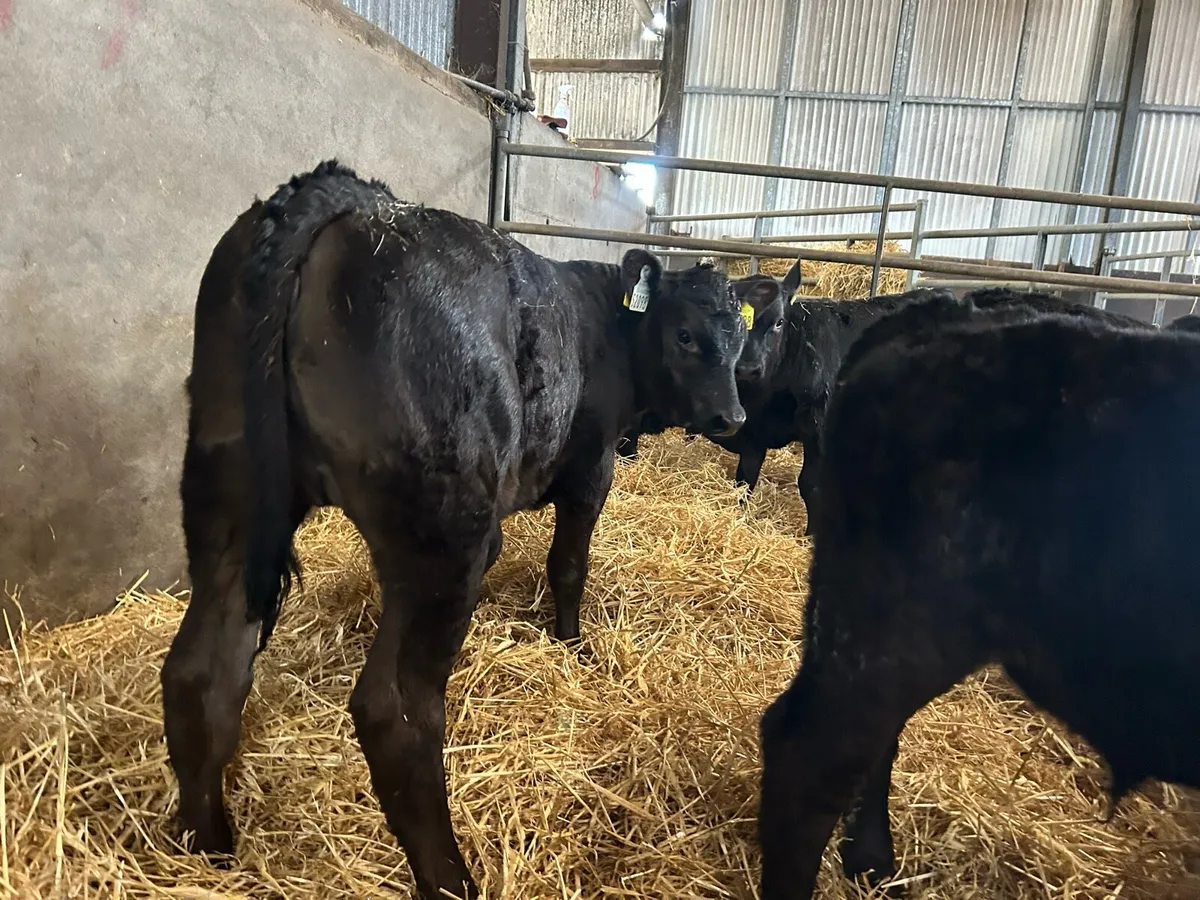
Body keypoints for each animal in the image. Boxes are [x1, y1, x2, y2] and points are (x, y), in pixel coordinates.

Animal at [159, 160, 748, 900]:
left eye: (741, 336)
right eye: (687, 336)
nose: (733, 416)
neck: (606, 328)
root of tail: (349, 200)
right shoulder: (591, 467)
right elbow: (569, 565)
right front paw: (573, 646)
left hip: (229, 488)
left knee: (201, 672)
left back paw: (208, 849)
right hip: (446, 531)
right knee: (396, 713)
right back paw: (451, 879)